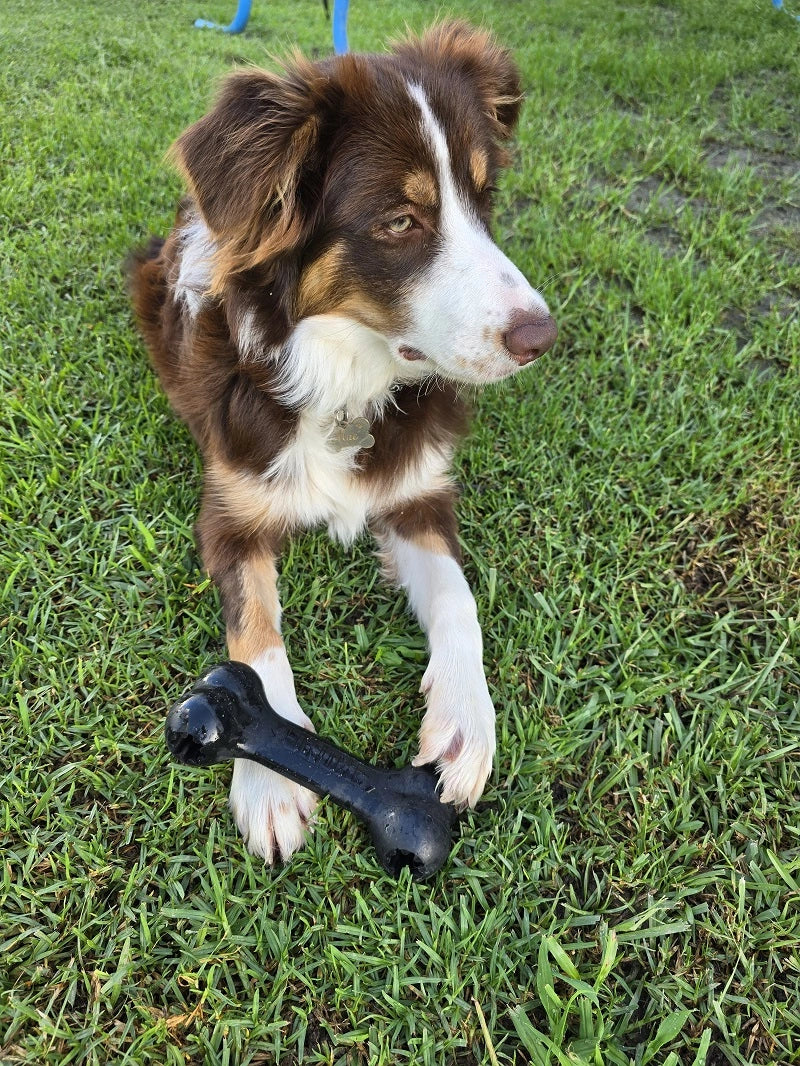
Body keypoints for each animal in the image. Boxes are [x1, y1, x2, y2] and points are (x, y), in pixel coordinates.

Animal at [130, 20, 558, 861]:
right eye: (401, 221)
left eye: (485, 200)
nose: (542, 338)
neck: (344, 376)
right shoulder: (230, 511)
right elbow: (255, 632)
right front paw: (268, 778)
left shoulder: (419, 494)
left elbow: (459, 600)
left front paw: (465, 723)